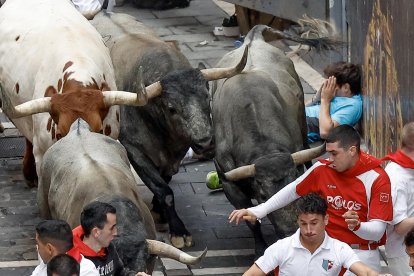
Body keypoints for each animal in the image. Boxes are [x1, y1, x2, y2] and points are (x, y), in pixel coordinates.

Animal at [90, 12, 246, 249]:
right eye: (172, 108)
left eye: (207, 98)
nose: (205, 143)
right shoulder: (134, 150)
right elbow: (165, 190)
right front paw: (178, 230)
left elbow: (166, 181)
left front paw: (160, 211)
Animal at [212, 24, 334, 256]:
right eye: (262, 195)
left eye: (293, 185)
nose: (290, 231)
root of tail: (253, 38)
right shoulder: (230, 185)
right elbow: (251, 218)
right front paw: (260, 247)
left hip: (303, 128)